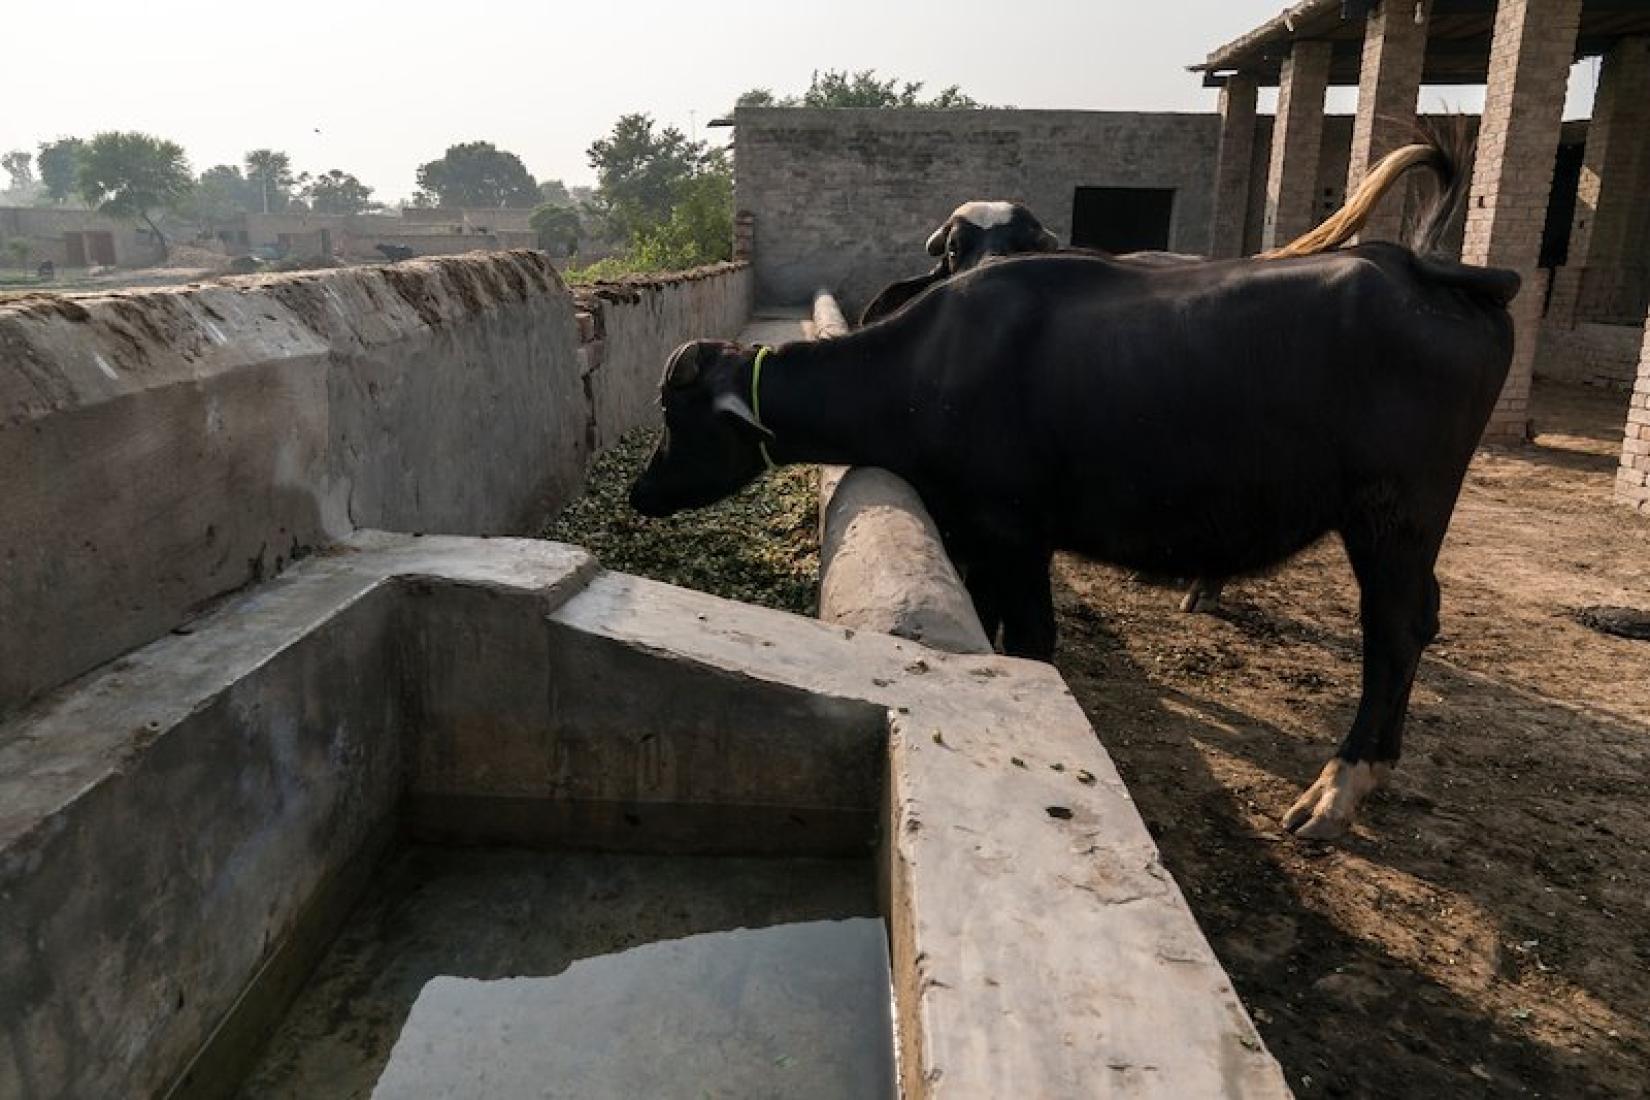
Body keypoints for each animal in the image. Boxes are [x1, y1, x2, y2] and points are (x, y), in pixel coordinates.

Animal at [630, 131, 1518, 834]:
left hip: (1395, 513)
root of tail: (1424, 267)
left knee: (1394, 628)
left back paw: (1337, 790)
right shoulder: (977, 542)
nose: (640, 494)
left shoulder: (1015, 535)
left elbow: (1031, 640)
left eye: (675, 413)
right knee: (1419, 621)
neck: (926, 368)